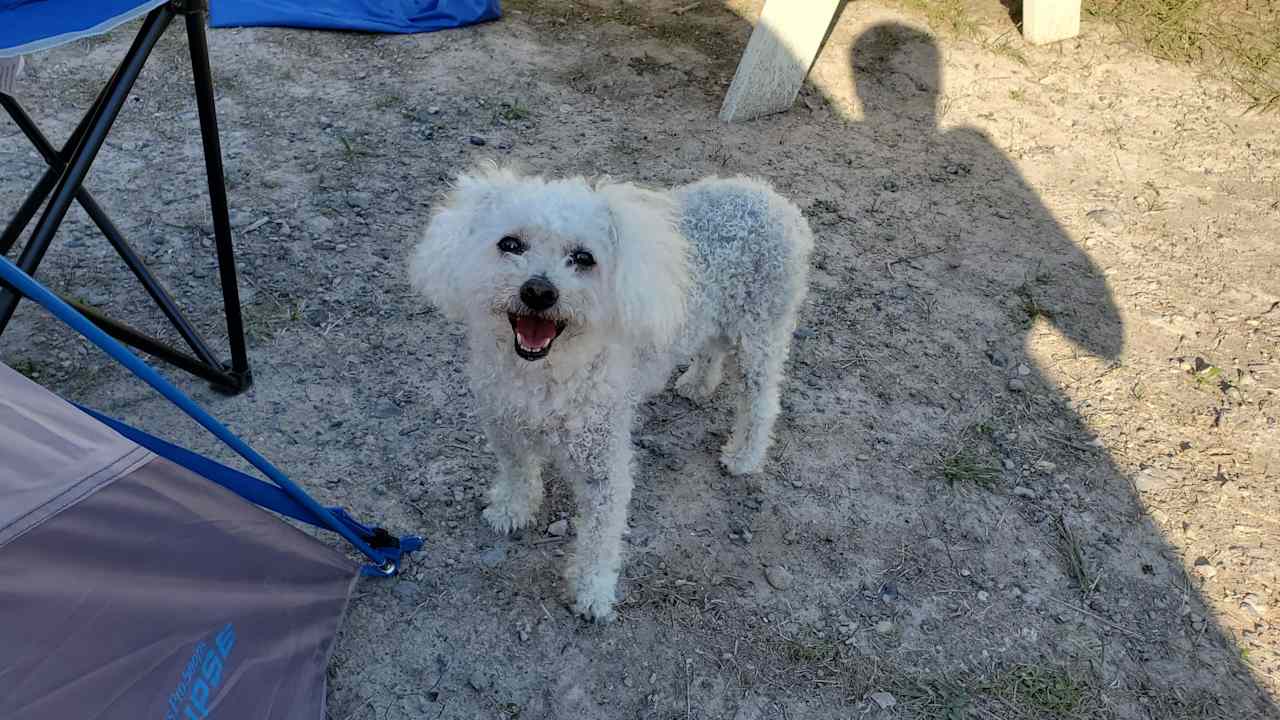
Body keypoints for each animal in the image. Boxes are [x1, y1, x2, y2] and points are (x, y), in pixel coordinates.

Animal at [412, 165, 808, 620]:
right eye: (510, 244)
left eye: (584, 258)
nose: (538, 291)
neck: (542, 374)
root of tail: (768, 196)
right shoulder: (504, 428)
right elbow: (516, 473)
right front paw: (512, 510)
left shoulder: (604, 464)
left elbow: (601, 535)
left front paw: (593, 591)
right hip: (718, 315)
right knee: (712, 347)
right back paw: (697, 383)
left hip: (762, 332)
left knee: (763, 400)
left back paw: (744, 455)